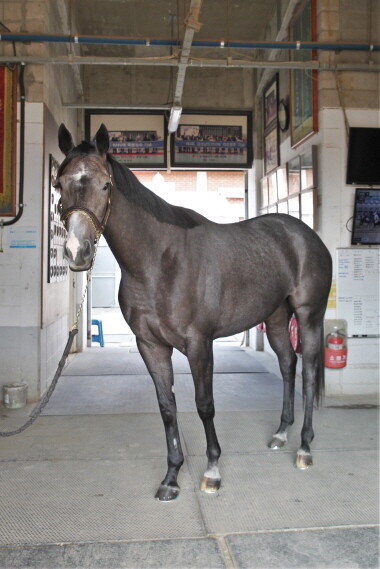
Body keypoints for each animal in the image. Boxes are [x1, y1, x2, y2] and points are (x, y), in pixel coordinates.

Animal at [56, 124, 332, 502]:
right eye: (59, 184)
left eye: (105, 185)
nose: (77, 251)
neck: (160, 261)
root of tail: (306, 236)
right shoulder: (150, 346)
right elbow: (167, 407)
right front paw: (172, 477)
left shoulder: (200, 345)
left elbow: (205, 404)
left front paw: (212, 471)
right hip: (276, 317)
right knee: (288, 364)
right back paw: (280, 433)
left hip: (308, 315)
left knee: (308, 371)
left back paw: (304, 447)